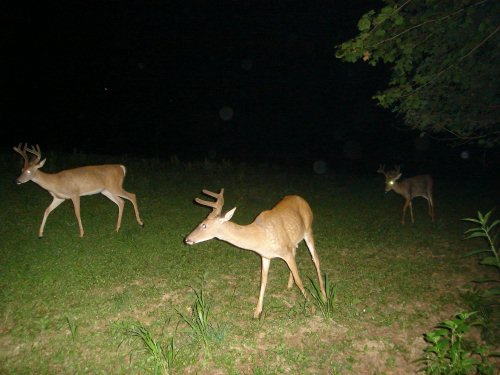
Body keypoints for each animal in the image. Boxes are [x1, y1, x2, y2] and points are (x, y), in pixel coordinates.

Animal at [12, 144, 145, 238]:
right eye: (22, 169)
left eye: (29, 171)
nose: (17, 181)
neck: (55, 181)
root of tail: (121, 167)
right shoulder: (59, 198)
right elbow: (46, 210)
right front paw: (40, 234)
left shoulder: (74, 194)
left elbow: (77, 213)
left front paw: (81, 233)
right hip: (106, 191)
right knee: (121, 202)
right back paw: (117, 228)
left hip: (115, 186)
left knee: (132, 195)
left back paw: (140, 222)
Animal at [184, 189, 328, 318]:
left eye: (204, 225)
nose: (187, 239)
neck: (259, 236)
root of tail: (302, 199)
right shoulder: (265, 256)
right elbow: (263, 280)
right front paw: (257, 312)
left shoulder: (285, 251)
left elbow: (299, 279)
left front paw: (312, 306)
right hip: (293, 240)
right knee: (297, 252)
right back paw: (289, 285)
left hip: (308, 230)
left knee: (316, 259)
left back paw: (324, 296)